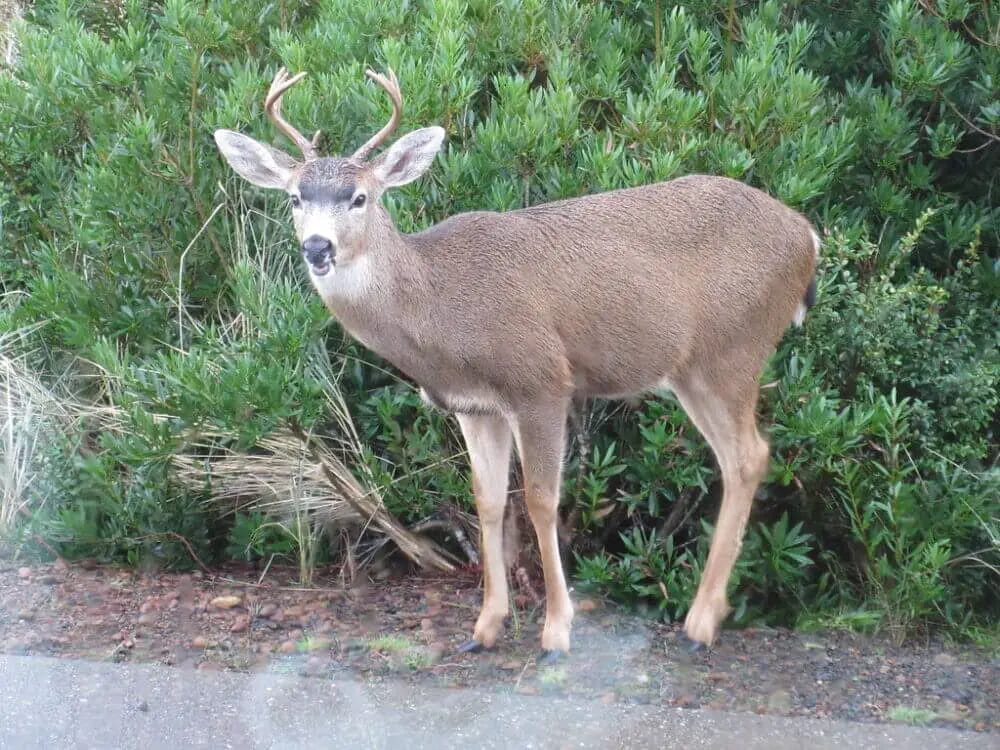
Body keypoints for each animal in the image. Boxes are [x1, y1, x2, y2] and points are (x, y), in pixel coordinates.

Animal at [214, 66, 820, 663]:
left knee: (748, 455)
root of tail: (808, 236)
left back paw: (700, 622)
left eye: (360, 197)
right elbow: (487, 503)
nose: (318, 247)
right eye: (295, 197)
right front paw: (485, 626)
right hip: (698, 368)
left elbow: (541, 500)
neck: (438, 305)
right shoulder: (475, 406)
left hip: (731, 350)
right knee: (741, 458)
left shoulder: (541, 381)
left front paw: (556, 631)